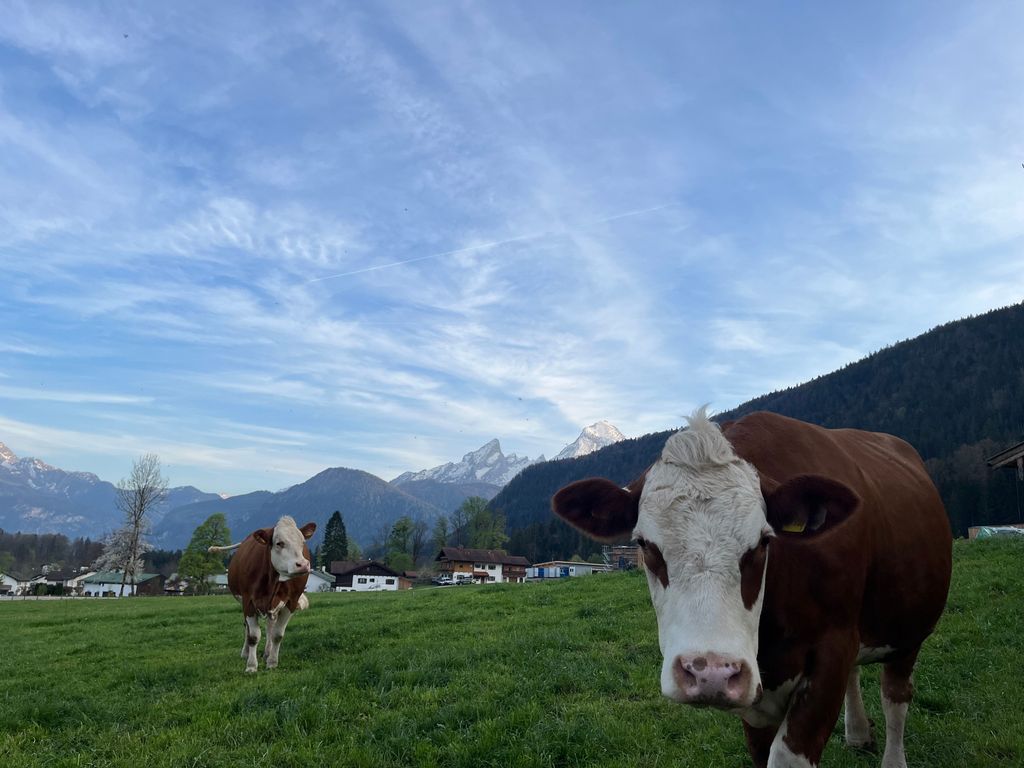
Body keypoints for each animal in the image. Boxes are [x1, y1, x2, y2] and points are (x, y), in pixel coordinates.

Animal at [209, 515, 317, 673]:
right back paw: (246, 653)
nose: (302, 565)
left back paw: (267, 653)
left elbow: (277, 634)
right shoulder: (248, 601)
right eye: (279, 543)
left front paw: (272, 662)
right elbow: (253, 636)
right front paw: (251, 665)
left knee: (270, 626)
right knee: (247, 628)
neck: (273, 581)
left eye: (302, 542)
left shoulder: (291, 602)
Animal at [552, 410, 951, 768]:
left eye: (762, 543)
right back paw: (857, 733)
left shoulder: (832, 651)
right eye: (645, 546)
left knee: (895, 697)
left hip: (909, 627)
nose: (709, 673)